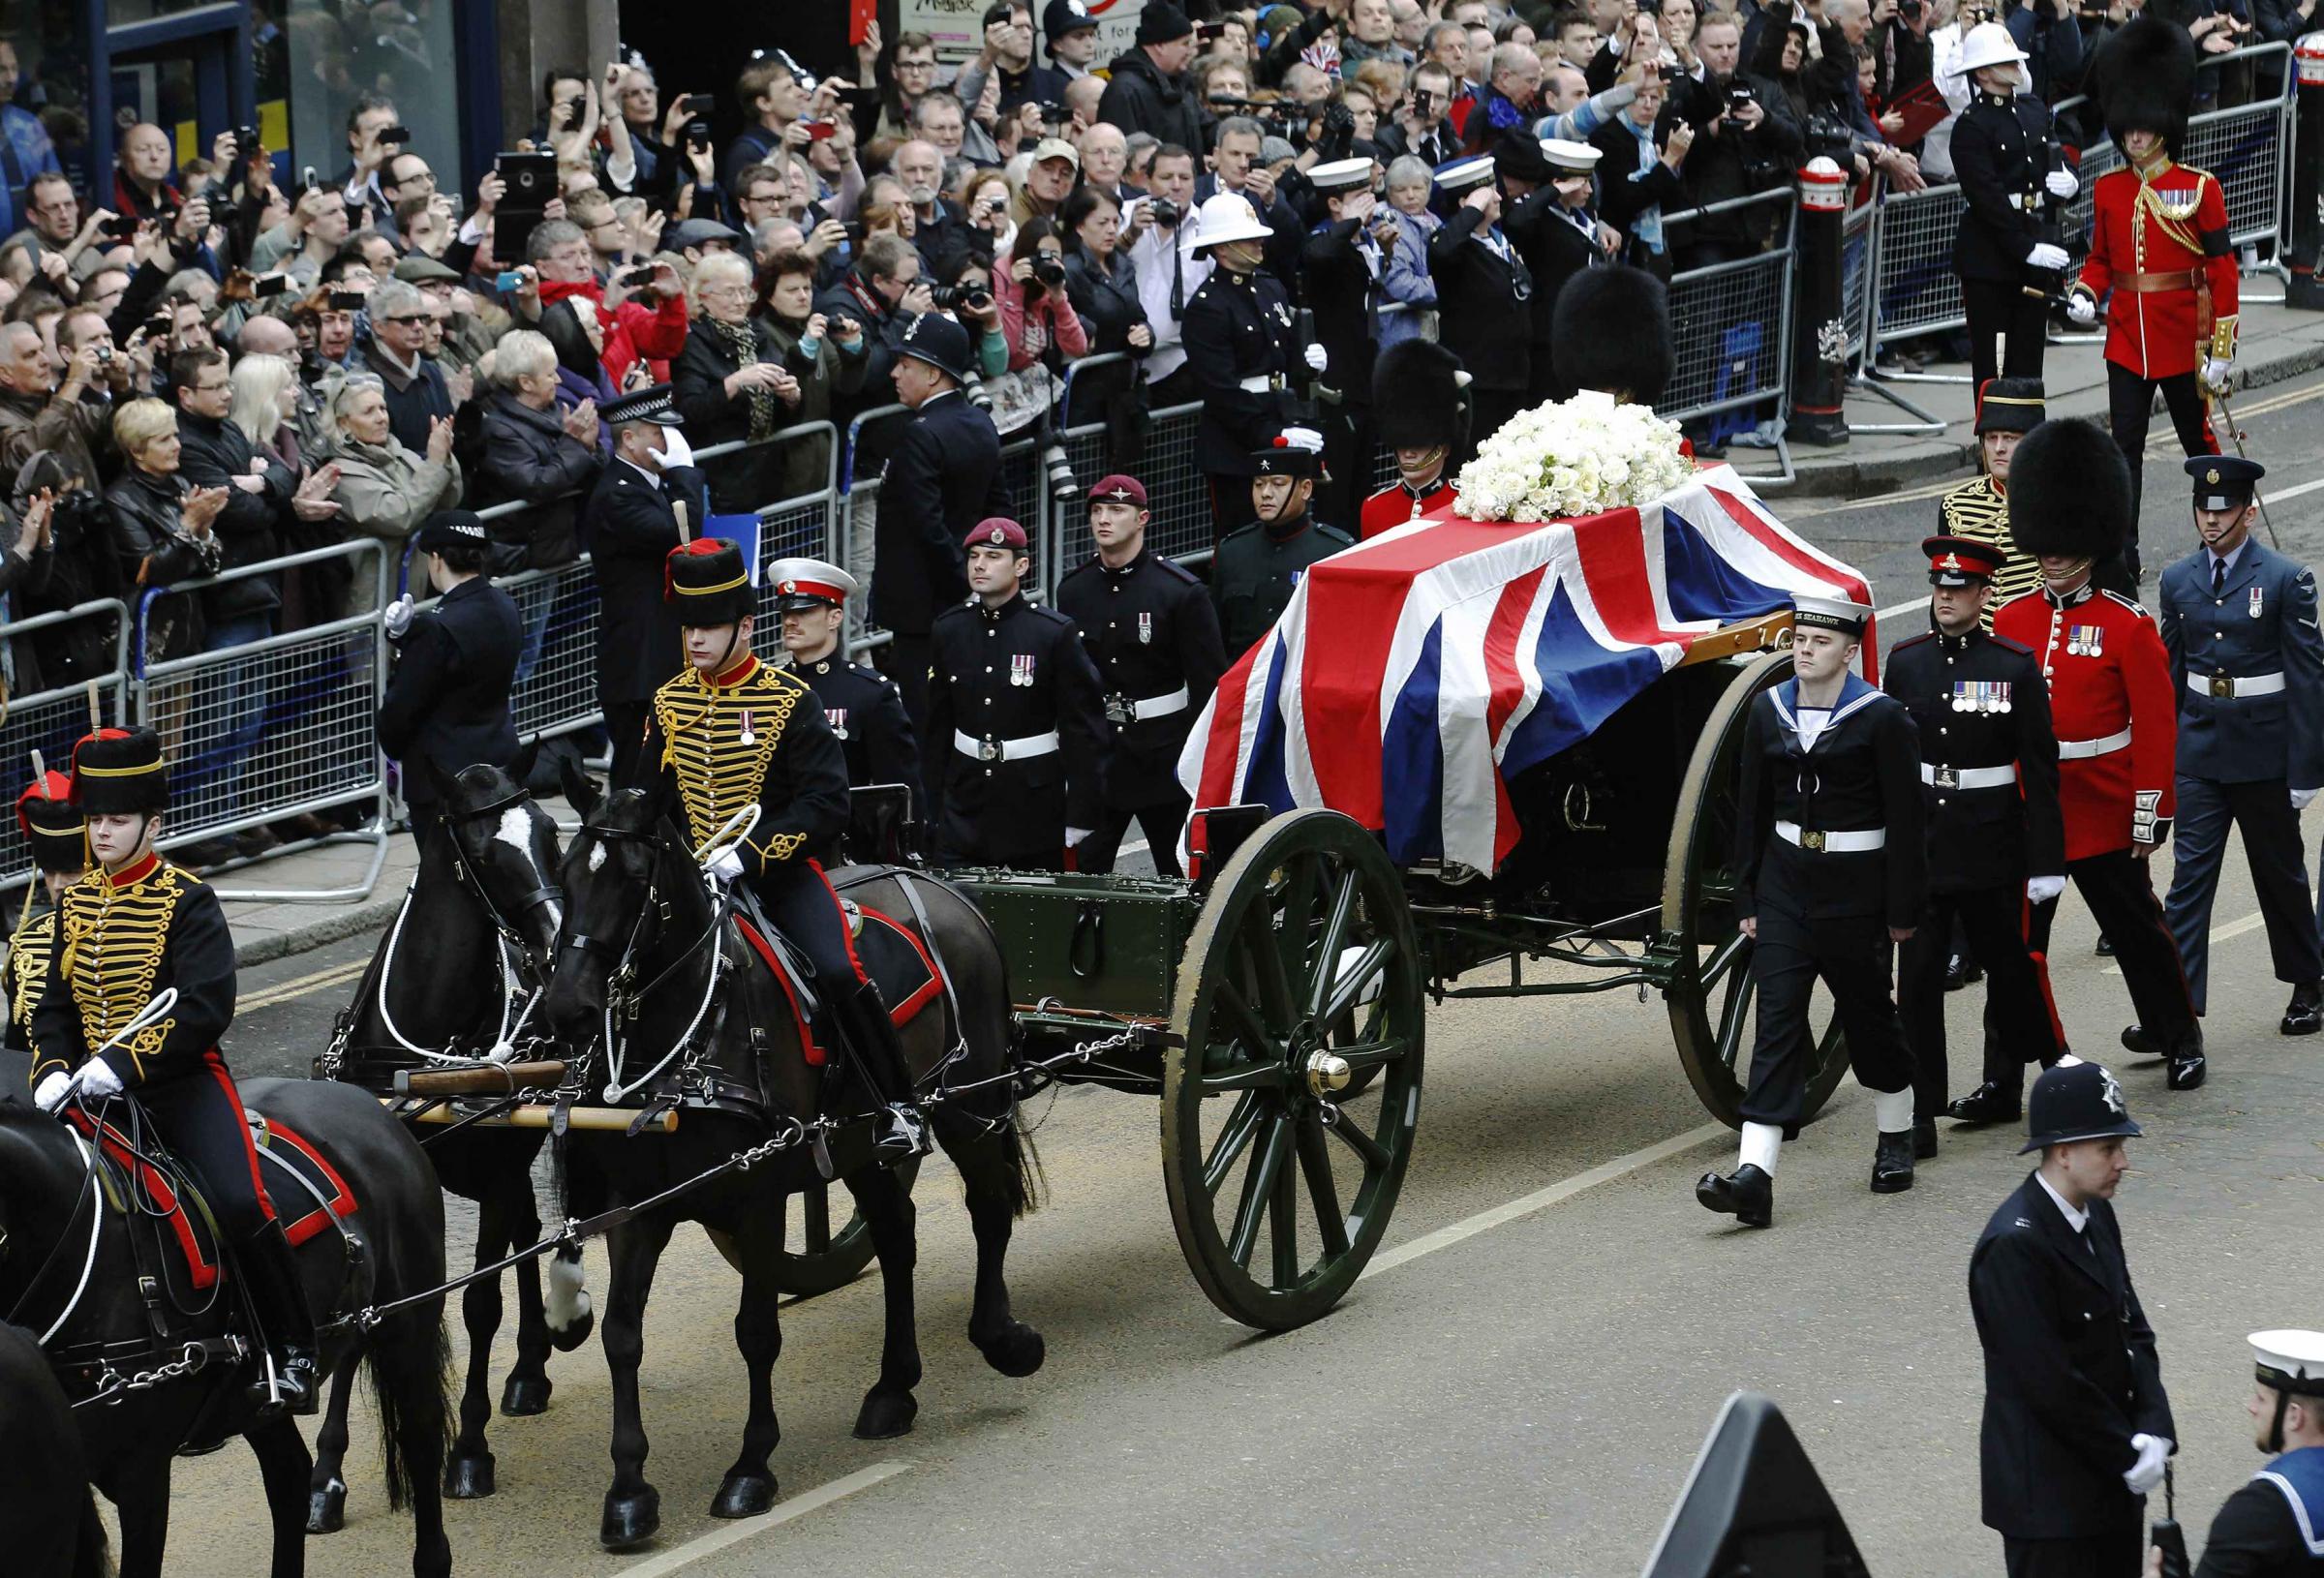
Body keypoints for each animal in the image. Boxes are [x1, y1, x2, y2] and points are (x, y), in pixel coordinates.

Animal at [0, 1077, 450, 1570]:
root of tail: (366, 1101)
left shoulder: (141, 1473)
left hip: (406, 1329)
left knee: (422, 1438)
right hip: (254, 1398)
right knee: (289, 1477)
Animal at [311, 767, 590, 1533]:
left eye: (551, 832)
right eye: (486, 854)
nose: (556, 944)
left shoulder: (493, 1180)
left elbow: (479, 1305)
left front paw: (468, 1450)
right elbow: (363, 1321)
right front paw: (326, 1476)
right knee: (531, 1227)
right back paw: (528, 1372)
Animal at [535, 780, 1046, 1552]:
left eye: (632, 879)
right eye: (565, 874)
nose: (569, 1008)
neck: (691, 1041)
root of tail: (941, 885)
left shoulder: (758, 1196)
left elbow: (756, 1331)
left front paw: (751, 1467)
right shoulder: (639, 1205)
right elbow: (622, 1335)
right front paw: (627, 1492)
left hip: (971, 1101)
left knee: (986, 1210)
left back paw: (1001, 1338)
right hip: (865, 1144)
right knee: (897, 1233)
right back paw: (893, 1388)